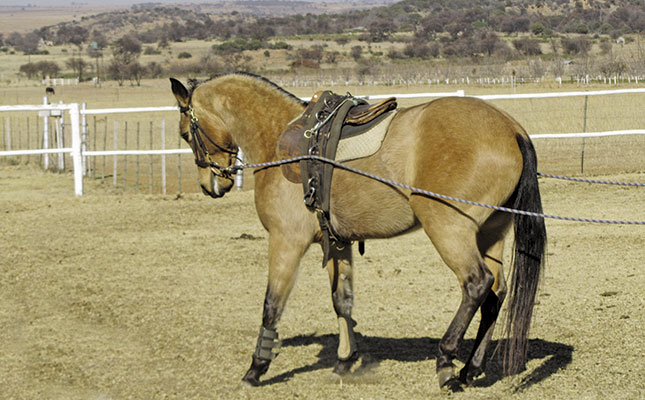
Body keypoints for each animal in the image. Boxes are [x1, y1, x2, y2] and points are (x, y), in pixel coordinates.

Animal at [170, 73, 544, 390]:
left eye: (187, 134)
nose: (211, 185)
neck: (280, 141)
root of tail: (511, 128)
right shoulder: (337, 243)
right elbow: (343, 302)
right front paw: (344, 361)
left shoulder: (286, 241)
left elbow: (271, 305)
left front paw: (256, 369)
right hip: (490, 234)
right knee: (496, 292)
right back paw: (471, 368)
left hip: (449, 229)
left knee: (476, 284)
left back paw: (446, 360)